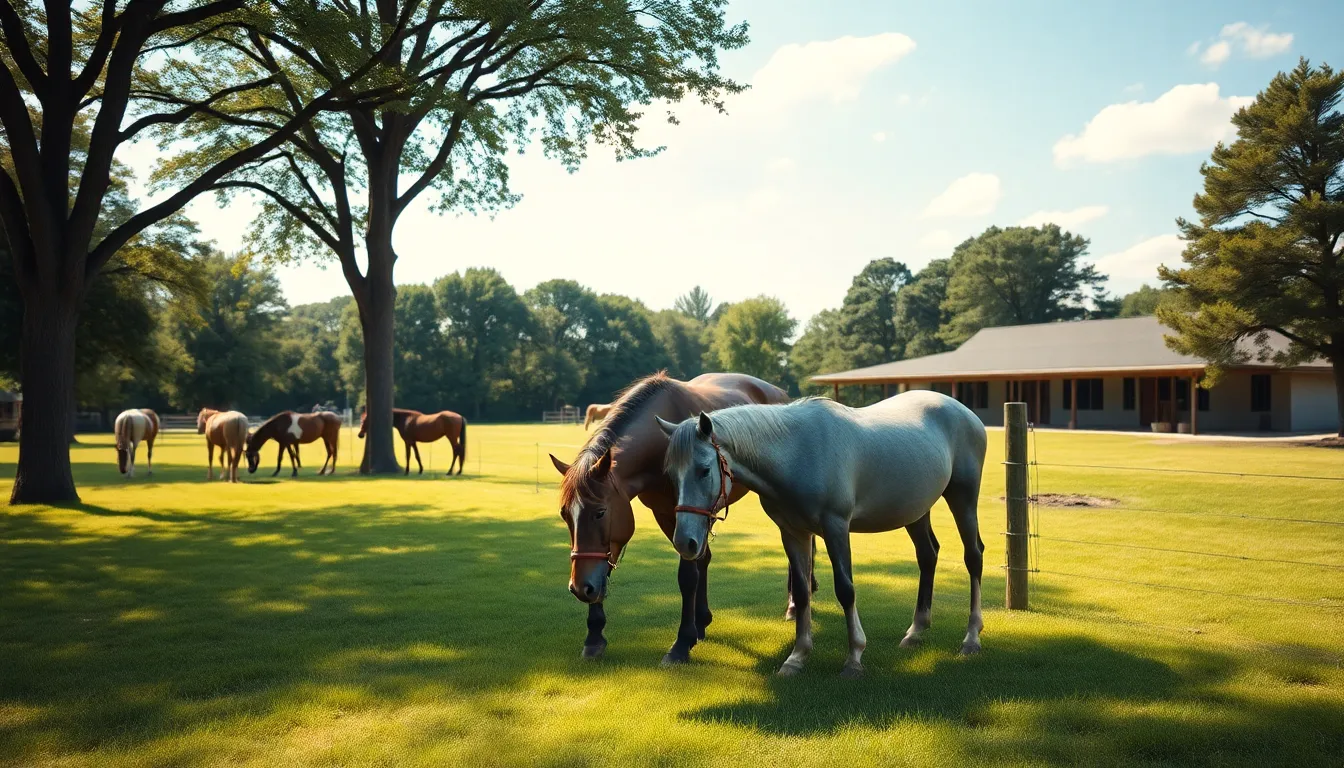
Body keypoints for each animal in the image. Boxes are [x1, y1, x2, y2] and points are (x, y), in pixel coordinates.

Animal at [548, 371, 812, 664]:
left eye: (600, 512)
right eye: (565, 515)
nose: (579, 588)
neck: (660, 445)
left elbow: (687, 576)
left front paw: (682, 643)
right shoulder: (666, 515)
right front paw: (594, 636)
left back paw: (794, 603)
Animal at [659, 390, 987, 677]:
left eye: (704, 470)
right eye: (671, 475)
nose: (684, 542)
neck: (796, 452)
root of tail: (965, 412)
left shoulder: (836, 527)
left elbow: (845, 589)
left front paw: (854, 658)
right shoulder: (792, 533)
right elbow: (802, 592)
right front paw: (796, 658)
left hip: (963, 497)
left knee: (973, 556)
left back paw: (971, 638)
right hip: (915, 510)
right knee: (927, 556)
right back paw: (916, 632)